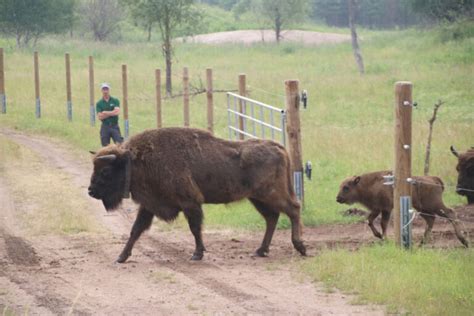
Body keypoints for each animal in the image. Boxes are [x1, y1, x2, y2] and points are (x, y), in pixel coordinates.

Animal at [88, 127, 308, 262]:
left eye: (105, 171)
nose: (90, 191)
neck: (135, 161)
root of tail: (278, 147)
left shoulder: (190, 203)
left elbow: (195, 228)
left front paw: (197, 254)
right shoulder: (149, 205)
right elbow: (135, 230)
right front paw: (121, 257)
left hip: (271, 195)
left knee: (293, 209)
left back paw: (300, 247)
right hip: (257, 198)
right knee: (272, 218)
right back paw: (260, 250)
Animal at [336, 170, 468, 247]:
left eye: (346, 187)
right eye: (341, 186)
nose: (338, 198)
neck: (368, 184)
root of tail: (434, 179)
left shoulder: (386, 209)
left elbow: (383, 223)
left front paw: (385, 239)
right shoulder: (376, 209)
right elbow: (369, 221)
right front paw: (379, 236)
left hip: (434, 205)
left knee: (450, 213)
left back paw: (464, 240)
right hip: (421, 208)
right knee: (431, 219)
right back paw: (421, 243)